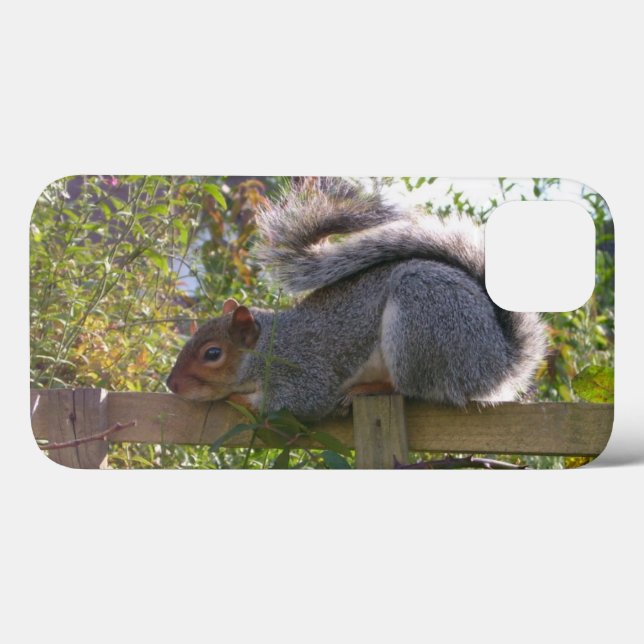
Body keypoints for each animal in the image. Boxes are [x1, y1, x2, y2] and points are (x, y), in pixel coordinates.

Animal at [166, 178, 547, 419]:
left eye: (212, 354)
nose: (171, 385)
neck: (269, 347)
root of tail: (499, 364)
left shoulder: (304, 372)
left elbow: (296, 403)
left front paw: (240, 399)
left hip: (419, 326)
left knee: (412, 390)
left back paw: (367, 389)